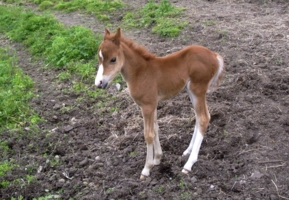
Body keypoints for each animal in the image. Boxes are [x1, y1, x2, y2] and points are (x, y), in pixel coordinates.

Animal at [94, 27, 223, 180]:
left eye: (113, 59)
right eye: (99, 58)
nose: (99, 83)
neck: (140, 72)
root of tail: (214, 55)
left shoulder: (147, 106)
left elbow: (148, 134)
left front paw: (146, 169)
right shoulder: (153, 104)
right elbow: (155, 129)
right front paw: (157, 159)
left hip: (198, 89)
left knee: (204, 118)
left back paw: (189, 164)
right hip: (191, 90)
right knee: (198, 118)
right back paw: (187, 151)